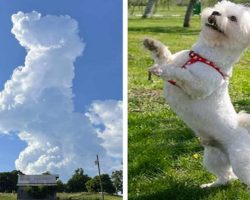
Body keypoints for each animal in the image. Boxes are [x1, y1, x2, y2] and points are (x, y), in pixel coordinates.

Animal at [144, 0, 250, 188]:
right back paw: (211, 185)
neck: (204, 56)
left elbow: (182, 73)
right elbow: (164, 55)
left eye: (233, 18)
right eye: (218, 8)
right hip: (213, 157)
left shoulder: (199, 86)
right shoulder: (174, 58)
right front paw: (153, 45)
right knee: (227, 177)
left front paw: (163, 70)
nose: (215, 13)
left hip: (241, 162)